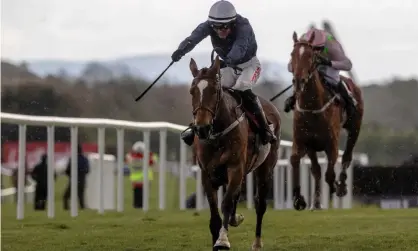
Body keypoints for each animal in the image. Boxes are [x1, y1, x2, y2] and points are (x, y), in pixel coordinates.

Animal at [189, 56, 280, 250]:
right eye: (192, 91)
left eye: (215, 91)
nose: (202, 128)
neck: (217, 135)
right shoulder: (207, 174)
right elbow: (215, 213)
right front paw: (217, 239)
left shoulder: (235, 168)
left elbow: (226, 203)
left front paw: (222, 240)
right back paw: (235, 219)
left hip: (266, 167)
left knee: (260, 203)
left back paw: (257, 243)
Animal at [290, 31, 364, 212]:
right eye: (292, 54)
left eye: (310, 56)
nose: (299, 81)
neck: (313, 107)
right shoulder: (303, 142)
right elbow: (297, 161)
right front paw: (299, 198)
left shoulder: (332, 144)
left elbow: (330, 174)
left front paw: (337, 187)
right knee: (317, 170)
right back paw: (316, 202)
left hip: (355, 128)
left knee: (347, 157)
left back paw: (341, 185)